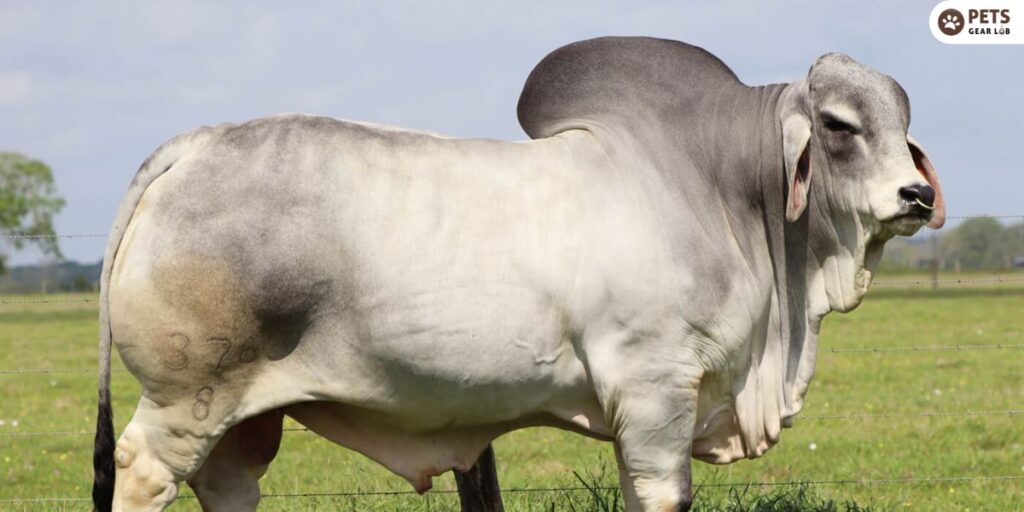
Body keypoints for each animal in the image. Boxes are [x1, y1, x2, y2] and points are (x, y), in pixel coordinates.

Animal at [94, 37, 942, 512]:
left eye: (905, 125)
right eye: (838, 125)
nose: (917, 195)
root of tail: (198, 142)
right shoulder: (656, 391)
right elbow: (663, 493)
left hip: (243, 418)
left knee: (226, 486)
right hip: (187, 396)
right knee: (143, 474)